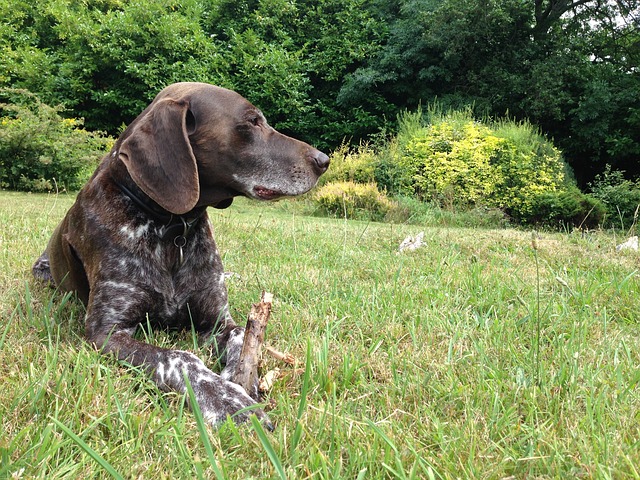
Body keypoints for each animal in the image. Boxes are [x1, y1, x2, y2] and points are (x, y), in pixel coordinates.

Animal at [31, 81, 330, 428]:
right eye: (253, 121)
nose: (324, 160)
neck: (170, 228)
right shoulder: (105, 333)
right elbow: (179, 357)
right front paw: (226, 399)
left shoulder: (217, 321)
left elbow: (241, 334)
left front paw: (240, 378)